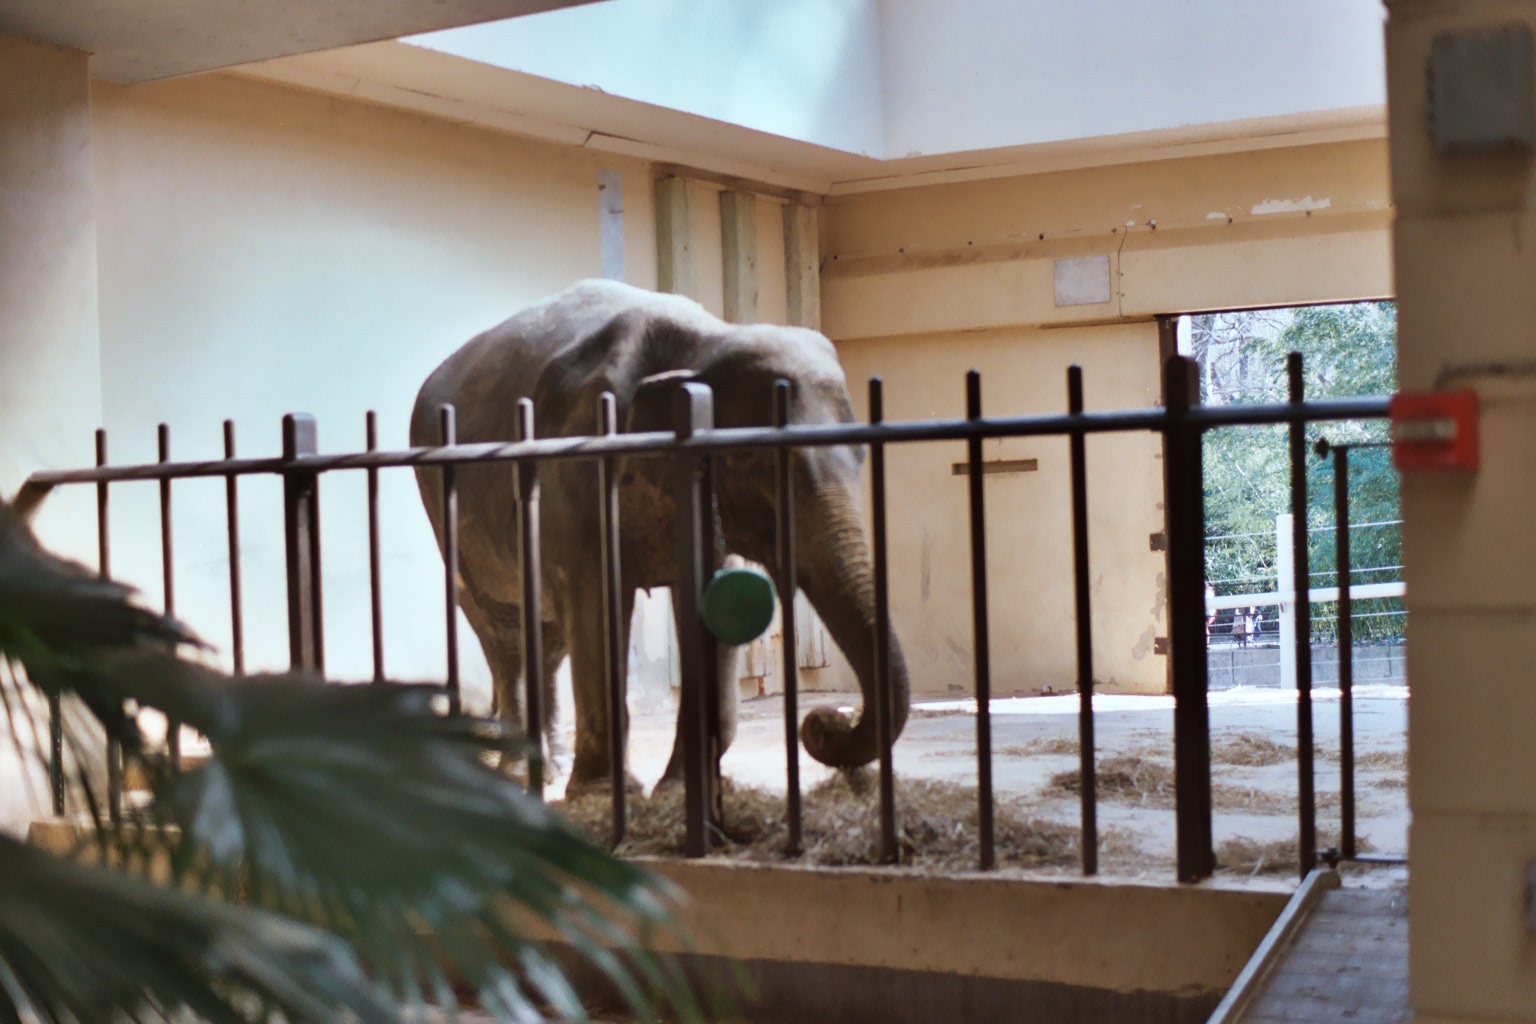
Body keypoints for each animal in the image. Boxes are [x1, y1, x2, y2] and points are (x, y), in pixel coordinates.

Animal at [411, 279, 911, 793]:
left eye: (861, 457)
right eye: (764, 467)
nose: (826, 720)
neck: (706, 345)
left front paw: (679, 790)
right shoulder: (578, 464)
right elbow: (596, 597)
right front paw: (603, 792)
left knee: (546, 638)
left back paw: (549, 768)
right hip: (440, 498)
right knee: (502, 629)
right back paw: (520, 773)